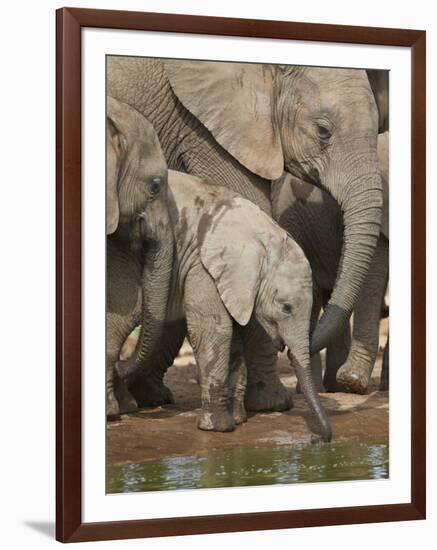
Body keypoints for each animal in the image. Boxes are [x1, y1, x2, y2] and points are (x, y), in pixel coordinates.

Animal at [116, 170, 330, 442]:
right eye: (286, 308)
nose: (317, 439)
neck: (262, 234)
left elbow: (235, 335)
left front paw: (238, 420)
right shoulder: (202, 264)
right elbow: (215, 330)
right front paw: (219, 427)